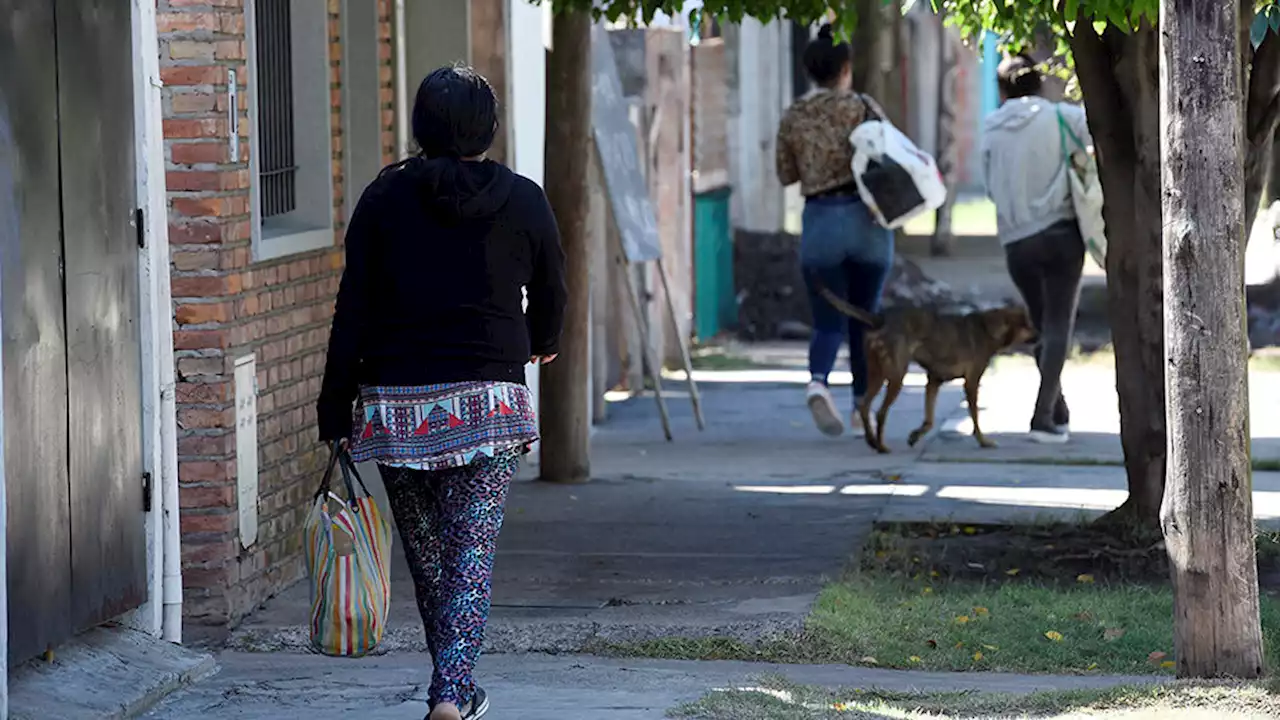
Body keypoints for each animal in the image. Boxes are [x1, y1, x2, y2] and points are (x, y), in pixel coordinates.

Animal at [814, 283, 1034, 450]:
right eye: (1028, 325)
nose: (1039, 332)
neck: (989, 328)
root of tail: (881, 319)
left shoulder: (933, 381)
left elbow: (929, 420)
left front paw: (915, 436)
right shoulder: (971, 383)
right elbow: (975, 418)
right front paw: (983, 441)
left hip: (876, 374)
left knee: (864, 405)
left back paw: (872, 442)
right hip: (896, 376)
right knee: (880, 412)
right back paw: (882, 447)